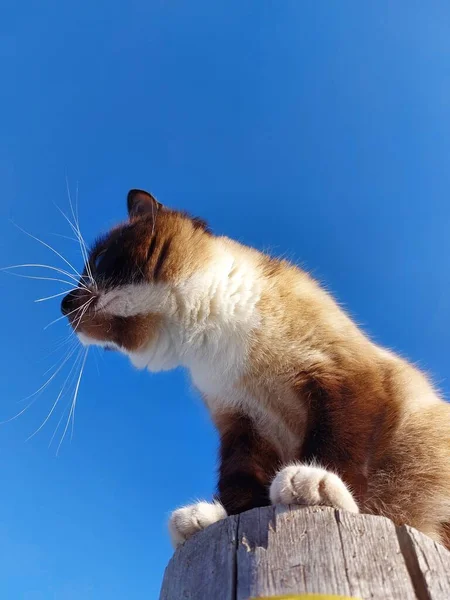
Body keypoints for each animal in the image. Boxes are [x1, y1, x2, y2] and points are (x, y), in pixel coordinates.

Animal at [59, 189, 450, 548]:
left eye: (99, 259)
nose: (64, 305)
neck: (211, 338)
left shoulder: (343, 378)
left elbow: (335, 444)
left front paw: (314, 481)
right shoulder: (242, 421)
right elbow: (240, 482)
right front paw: (214, 516)